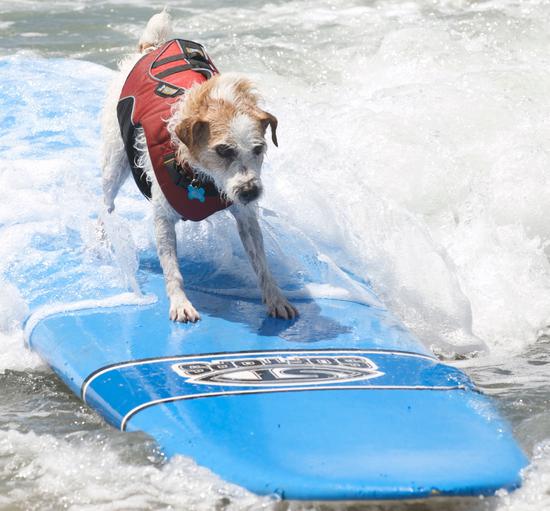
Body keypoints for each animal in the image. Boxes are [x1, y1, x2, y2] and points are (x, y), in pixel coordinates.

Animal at [99, 10, 298, 324]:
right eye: (223, 150)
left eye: (259, 149)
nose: (251, 192)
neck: (199, 174)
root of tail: (151, 48)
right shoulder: (163, 217)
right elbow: (171, 267)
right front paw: (180, 302)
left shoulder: (245, 215)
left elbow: (261, 261)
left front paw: (276, 297)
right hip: (114, 162)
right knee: (105, 202)